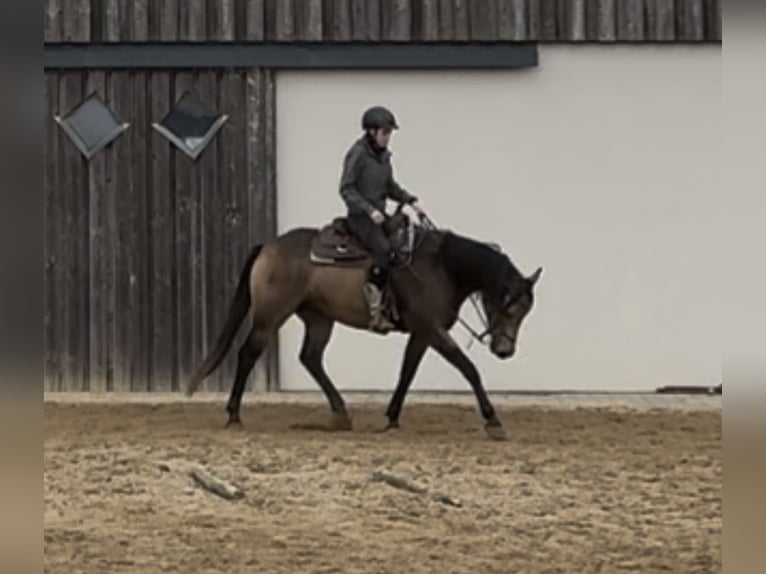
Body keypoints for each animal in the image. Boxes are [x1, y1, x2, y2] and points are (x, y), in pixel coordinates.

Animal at [187, 208, 544, 440]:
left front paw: (392, 417)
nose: (505, 350)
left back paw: (341, 414)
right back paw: (234, 414)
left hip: (319, 317)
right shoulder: (432, 329)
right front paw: (493, 420)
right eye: (509, 306)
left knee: (310, 358)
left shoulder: (421, 333)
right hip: (270, 316)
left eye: (525, 311)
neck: (441, 267)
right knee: (248, 354)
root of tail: (268, 246)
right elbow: (468, 368)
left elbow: (407, 372)